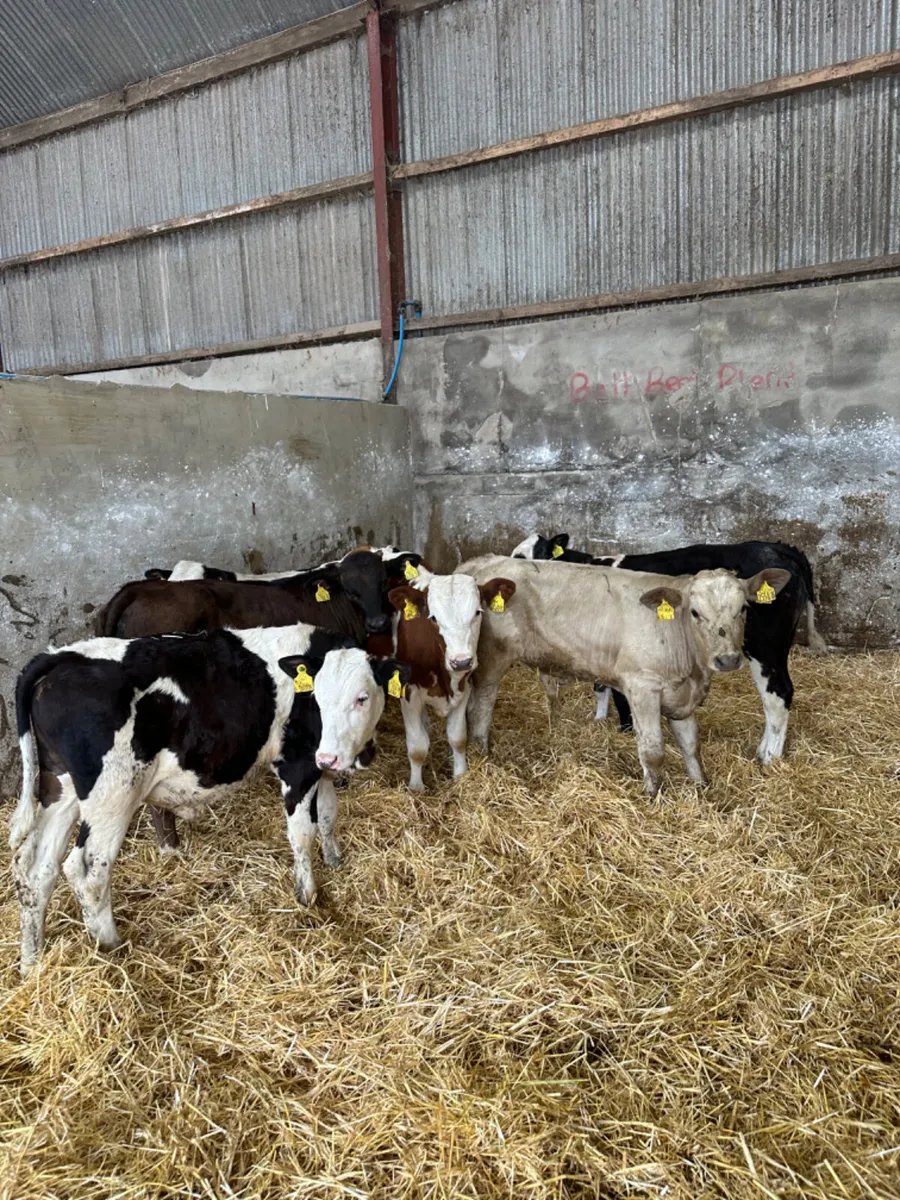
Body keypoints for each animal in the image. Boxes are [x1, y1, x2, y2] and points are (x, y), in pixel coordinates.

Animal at [9, 624, 411, 973]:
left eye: (362, 698)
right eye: (318, 699)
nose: (332, 758)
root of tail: (63, 657)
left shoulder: (319, 768)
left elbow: (327, 815)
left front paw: (334, 861)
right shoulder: (299, 765)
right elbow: (302, 833)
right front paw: (308, 896)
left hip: (60, 789)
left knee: (35, 869)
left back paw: (32, 963)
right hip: (113, 794)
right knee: (88, 870)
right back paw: (112, 947)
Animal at [385, 573, 516, 790]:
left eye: (477, 612)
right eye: (433, 618)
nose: (461, 661)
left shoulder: (464, 688)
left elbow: (458, 738)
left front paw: (460, 775)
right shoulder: (408, 693)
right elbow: (417, 746)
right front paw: (416, 787)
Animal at [455, 555, 790, 796]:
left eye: (743, 608)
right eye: (695, 613)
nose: (728, 659)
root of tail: (484, 562)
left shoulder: (682, 697)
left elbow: (691, 745)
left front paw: (702, 787)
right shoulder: (643, 688)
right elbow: (653, 751)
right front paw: (655, 796)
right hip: (490, 661)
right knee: (480, 709)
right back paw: (483, 757)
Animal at [511, 533, 825, 764]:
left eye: (522, 558)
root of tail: (781, 548)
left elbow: (620, 697)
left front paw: (625, 731)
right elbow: (600, 687)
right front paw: (599, 720)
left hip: (765, 647)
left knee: (778, 695)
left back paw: (769, 756)